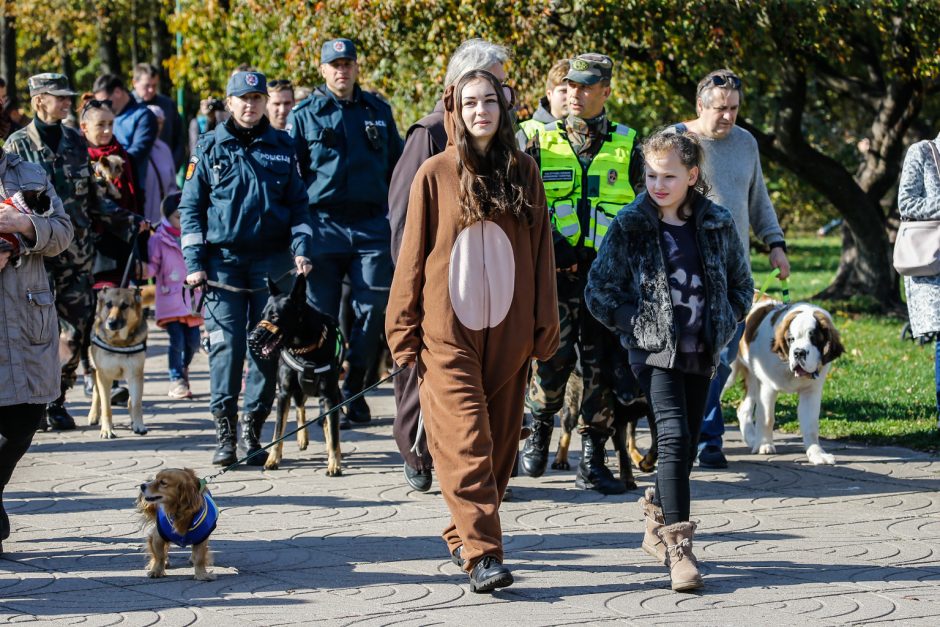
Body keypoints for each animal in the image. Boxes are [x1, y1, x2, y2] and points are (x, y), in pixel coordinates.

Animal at [248, 274, 346, 476]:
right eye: (262, 316)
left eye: (275, 316)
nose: (252, 338)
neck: (304, 348)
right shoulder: (283, 394)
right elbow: (278, 431)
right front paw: (272, 459)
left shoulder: (330, 396)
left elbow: (334, 434)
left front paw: (334, 464)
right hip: (298, 392)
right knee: (300, 406)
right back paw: (301, 438)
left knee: (326, 422)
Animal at [728, 300, 844, 466]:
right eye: (791, 339)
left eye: (813, 338)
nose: (799, 353)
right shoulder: (767, 387)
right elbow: (767, 418)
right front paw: (764, 445)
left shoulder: (811, 392)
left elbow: (811, 425)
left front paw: (817, 454)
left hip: (753, 379)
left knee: (743, 409)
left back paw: (752, 439)